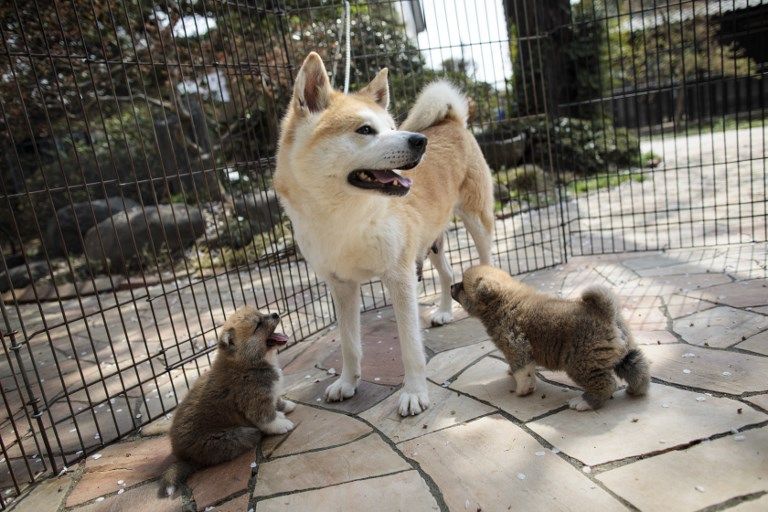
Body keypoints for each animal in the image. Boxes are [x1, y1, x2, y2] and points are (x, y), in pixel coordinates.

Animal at [160, 306, 296, 494]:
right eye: (258, 325)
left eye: (261, 313)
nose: (275, 314)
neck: (247, 363)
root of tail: (185, 458)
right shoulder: (256, 401)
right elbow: (268, 418)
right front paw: (282, 424)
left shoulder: (269, 394)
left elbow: (277, 401)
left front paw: (287, 406)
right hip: (232, 436)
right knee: (252, 433)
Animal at [274, 53, 492, 416]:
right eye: (365, 130)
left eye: (391, 128)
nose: (419, 141)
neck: (347, 217)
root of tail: (451, 121)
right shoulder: (342, 287)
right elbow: (349, 344)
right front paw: (347, 383)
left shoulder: (400, 278)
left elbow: (410, 347)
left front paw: (414, 392)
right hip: (431, 242)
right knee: (448, 275)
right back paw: (445, 312)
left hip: (477, 221)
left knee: (487, 262)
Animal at [450, 266, 648, 410]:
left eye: (462, 285)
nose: (451, 286)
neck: (503, 302)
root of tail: (604, 312)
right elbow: (522, 369)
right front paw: (513, 374)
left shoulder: (516, 348)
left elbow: (522, 372)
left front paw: (523, 390)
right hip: (624, 354)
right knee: (638, 370)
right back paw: (636, 390)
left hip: (580, 364)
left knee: (606, 384)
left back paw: (584, 403)